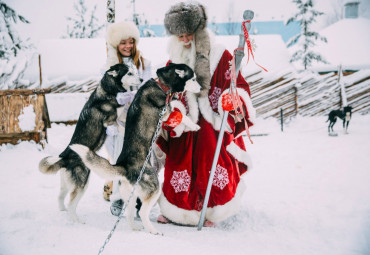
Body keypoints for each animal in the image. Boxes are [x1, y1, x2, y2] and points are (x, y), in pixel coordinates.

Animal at [38, 63, 140, 223]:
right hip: (82, 183)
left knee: (60, 197)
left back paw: (63, 210)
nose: (141, 79)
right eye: (129, 73)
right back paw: (77, 221)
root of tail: (64, 157)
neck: (110, 91)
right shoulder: (110, 122)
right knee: (72, 203)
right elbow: (123, 128)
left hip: (66, 184)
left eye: (134, 71)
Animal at [71, 62, 201, 234]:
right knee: (144, 212)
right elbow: (181, 113)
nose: (201, 88)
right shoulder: (166, 112)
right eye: (193, 78)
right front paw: (194, 125)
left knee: (128, 213)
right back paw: (153, 230)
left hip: (130, 196)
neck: (162, 85)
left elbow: (178, 108)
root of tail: (125, 166)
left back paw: (135, 228)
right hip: (154, 189)